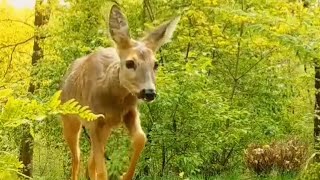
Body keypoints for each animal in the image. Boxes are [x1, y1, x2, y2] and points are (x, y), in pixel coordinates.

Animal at [59, 4, 180, 180]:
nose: (149, 92)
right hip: (69, 118)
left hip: (106, 128)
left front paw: (125, 175)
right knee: (77, 157)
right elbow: (102, 169)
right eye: (130, 63)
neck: (113, 99)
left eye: (156, 64)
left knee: (89, 162)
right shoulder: (93, 120)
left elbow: (141, 138)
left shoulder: (129, 112)